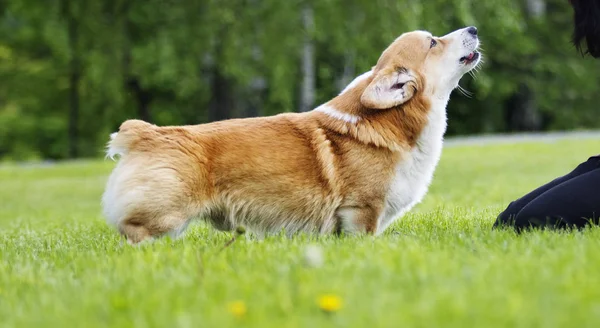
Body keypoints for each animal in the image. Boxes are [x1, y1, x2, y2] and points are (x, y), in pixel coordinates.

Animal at [101, 26, 480, 243]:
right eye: (433, 42)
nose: (474, 27)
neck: (394, 122)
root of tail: (144, 134)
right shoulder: (362, 210)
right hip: (166, 215)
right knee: (135, 232)